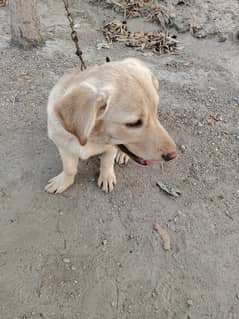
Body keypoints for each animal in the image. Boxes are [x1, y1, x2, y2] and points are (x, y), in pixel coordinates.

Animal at [45, 57, 177, 194]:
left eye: (155, 111)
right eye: (134, 123)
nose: (173, 155)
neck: (93, 137)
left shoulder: (111, 147)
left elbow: (107, 162)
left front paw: (106, 177)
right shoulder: (63, 146)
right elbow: (69, 168)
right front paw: (63, 182)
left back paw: (122, 155)